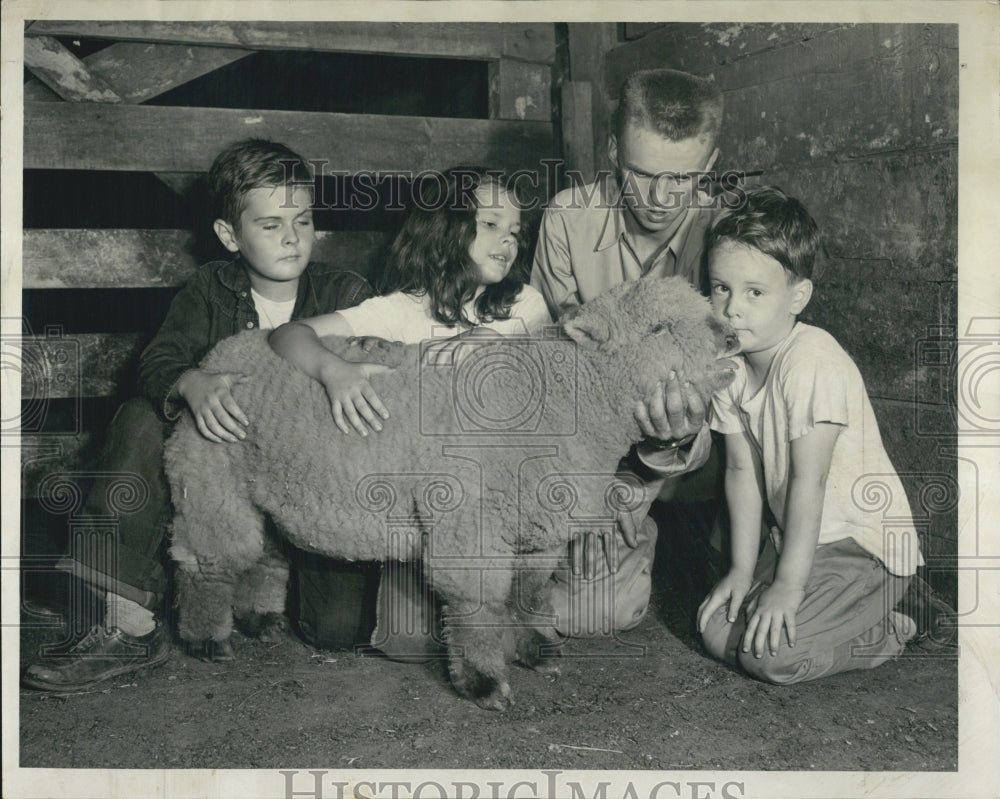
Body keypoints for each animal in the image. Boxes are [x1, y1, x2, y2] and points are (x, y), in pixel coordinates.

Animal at [166, 274, 736, 708]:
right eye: (658, 328)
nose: (729, 336)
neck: (562, 398)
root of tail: (226, 351)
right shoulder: (470, 524)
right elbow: (479, 605)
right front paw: (484, 683)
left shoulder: (538, 527)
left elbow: (531, 594)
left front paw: (536, 649)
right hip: (209, 479)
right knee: (206, 562)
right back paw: (205, 638)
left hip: (267, 484)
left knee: (265, 553)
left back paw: (259, 619)